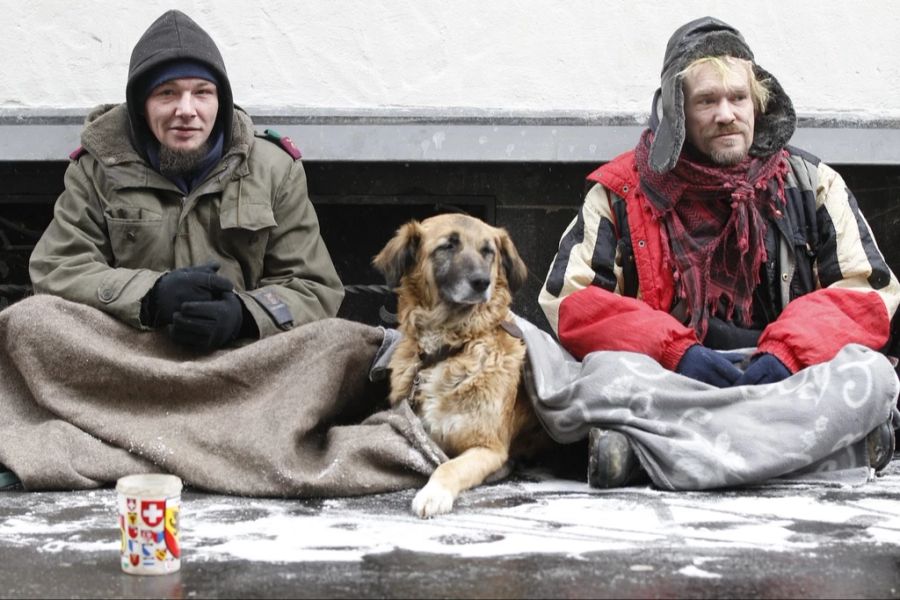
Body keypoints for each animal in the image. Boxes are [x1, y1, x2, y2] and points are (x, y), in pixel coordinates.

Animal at [370, 213, 544, 516]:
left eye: (488, 251)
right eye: (448, 246)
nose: (482, 282)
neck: (450, 347)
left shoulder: (488, 448)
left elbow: (448, 467)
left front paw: (433, 494)